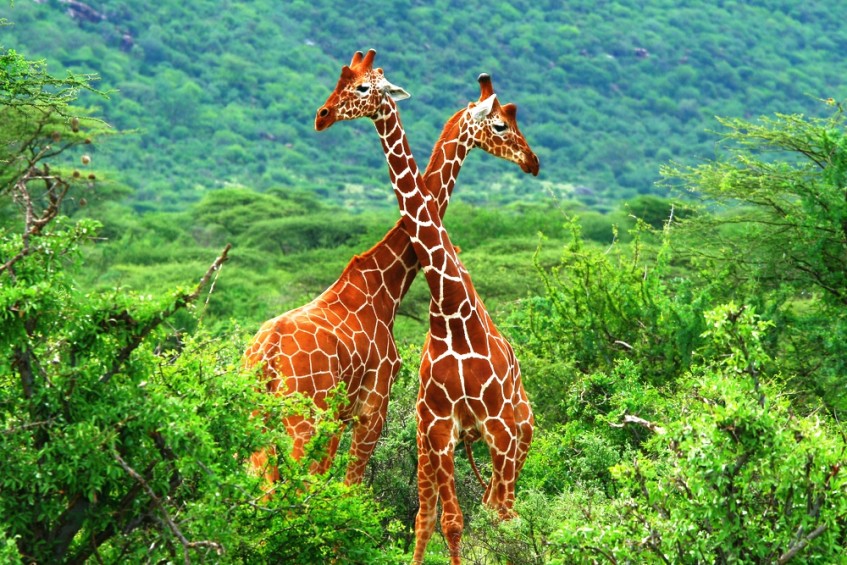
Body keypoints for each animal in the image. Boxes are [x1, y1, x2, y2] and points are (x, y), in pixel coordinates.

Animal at [243, 51, 536, 484]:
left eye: (359, 85)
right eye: (501, 123)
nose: (532, 161)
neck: (387, 284)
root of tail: (266, 352)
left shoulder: (344, 413)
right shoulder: (373, 405)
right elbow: (350, 486)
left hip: (258, 410)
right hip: (302, 416)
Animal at [318, 49, 536, 564]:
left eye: (362, 87)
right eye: (501, 124)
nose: (533, 162)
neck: (452, 309)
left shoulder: (496, 426)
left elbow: (490, 517)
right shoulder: (436, 426)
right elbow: (446, 520)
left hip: (519, 434)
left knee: (506, 508)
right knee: (449, 510)